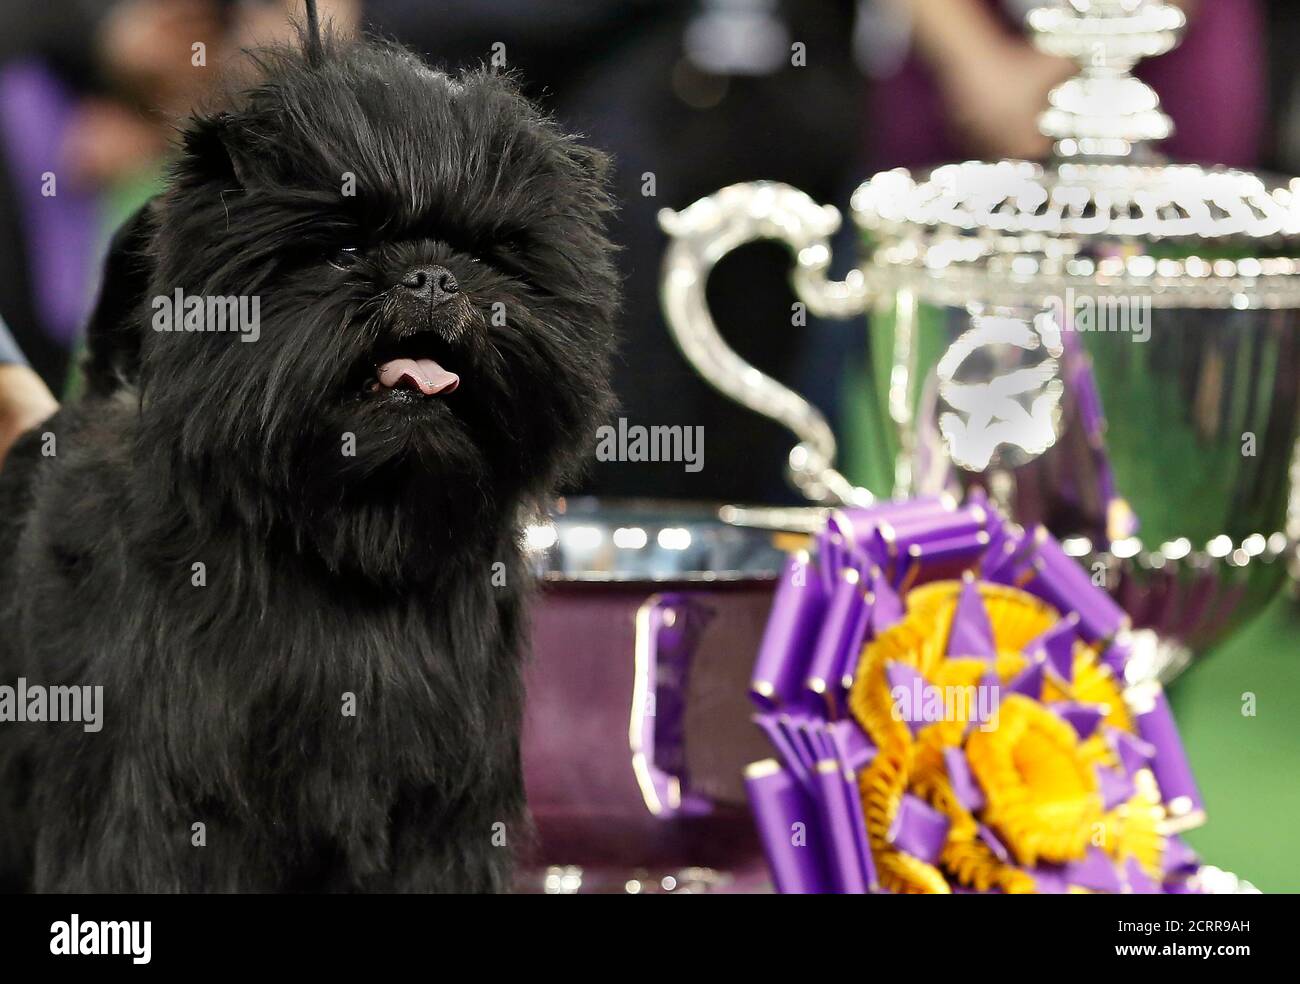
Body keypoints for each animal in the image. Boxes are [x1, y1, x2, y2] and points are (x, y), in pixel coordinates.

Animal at [0, 23, 616, 889]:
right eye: (346, 246)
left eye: (489, 255)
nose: (434, 275)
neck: (346, 539)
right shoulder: (163, 809)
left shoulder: (444, 817)